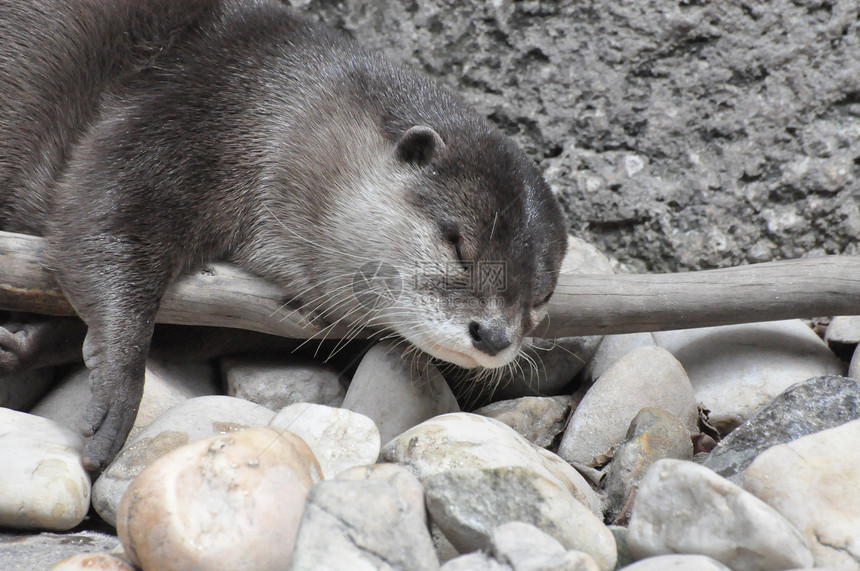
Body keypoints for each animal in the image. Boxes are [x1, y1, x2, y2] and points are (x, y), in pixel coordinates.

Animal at [0, 0, 568, 470]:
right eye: (457, 245)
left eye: (541, 296)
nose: (493, 335)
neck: (274, 106)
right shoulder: (181, 108)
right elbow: (99, 213)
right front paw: (118, 387)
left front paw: (29, 342)